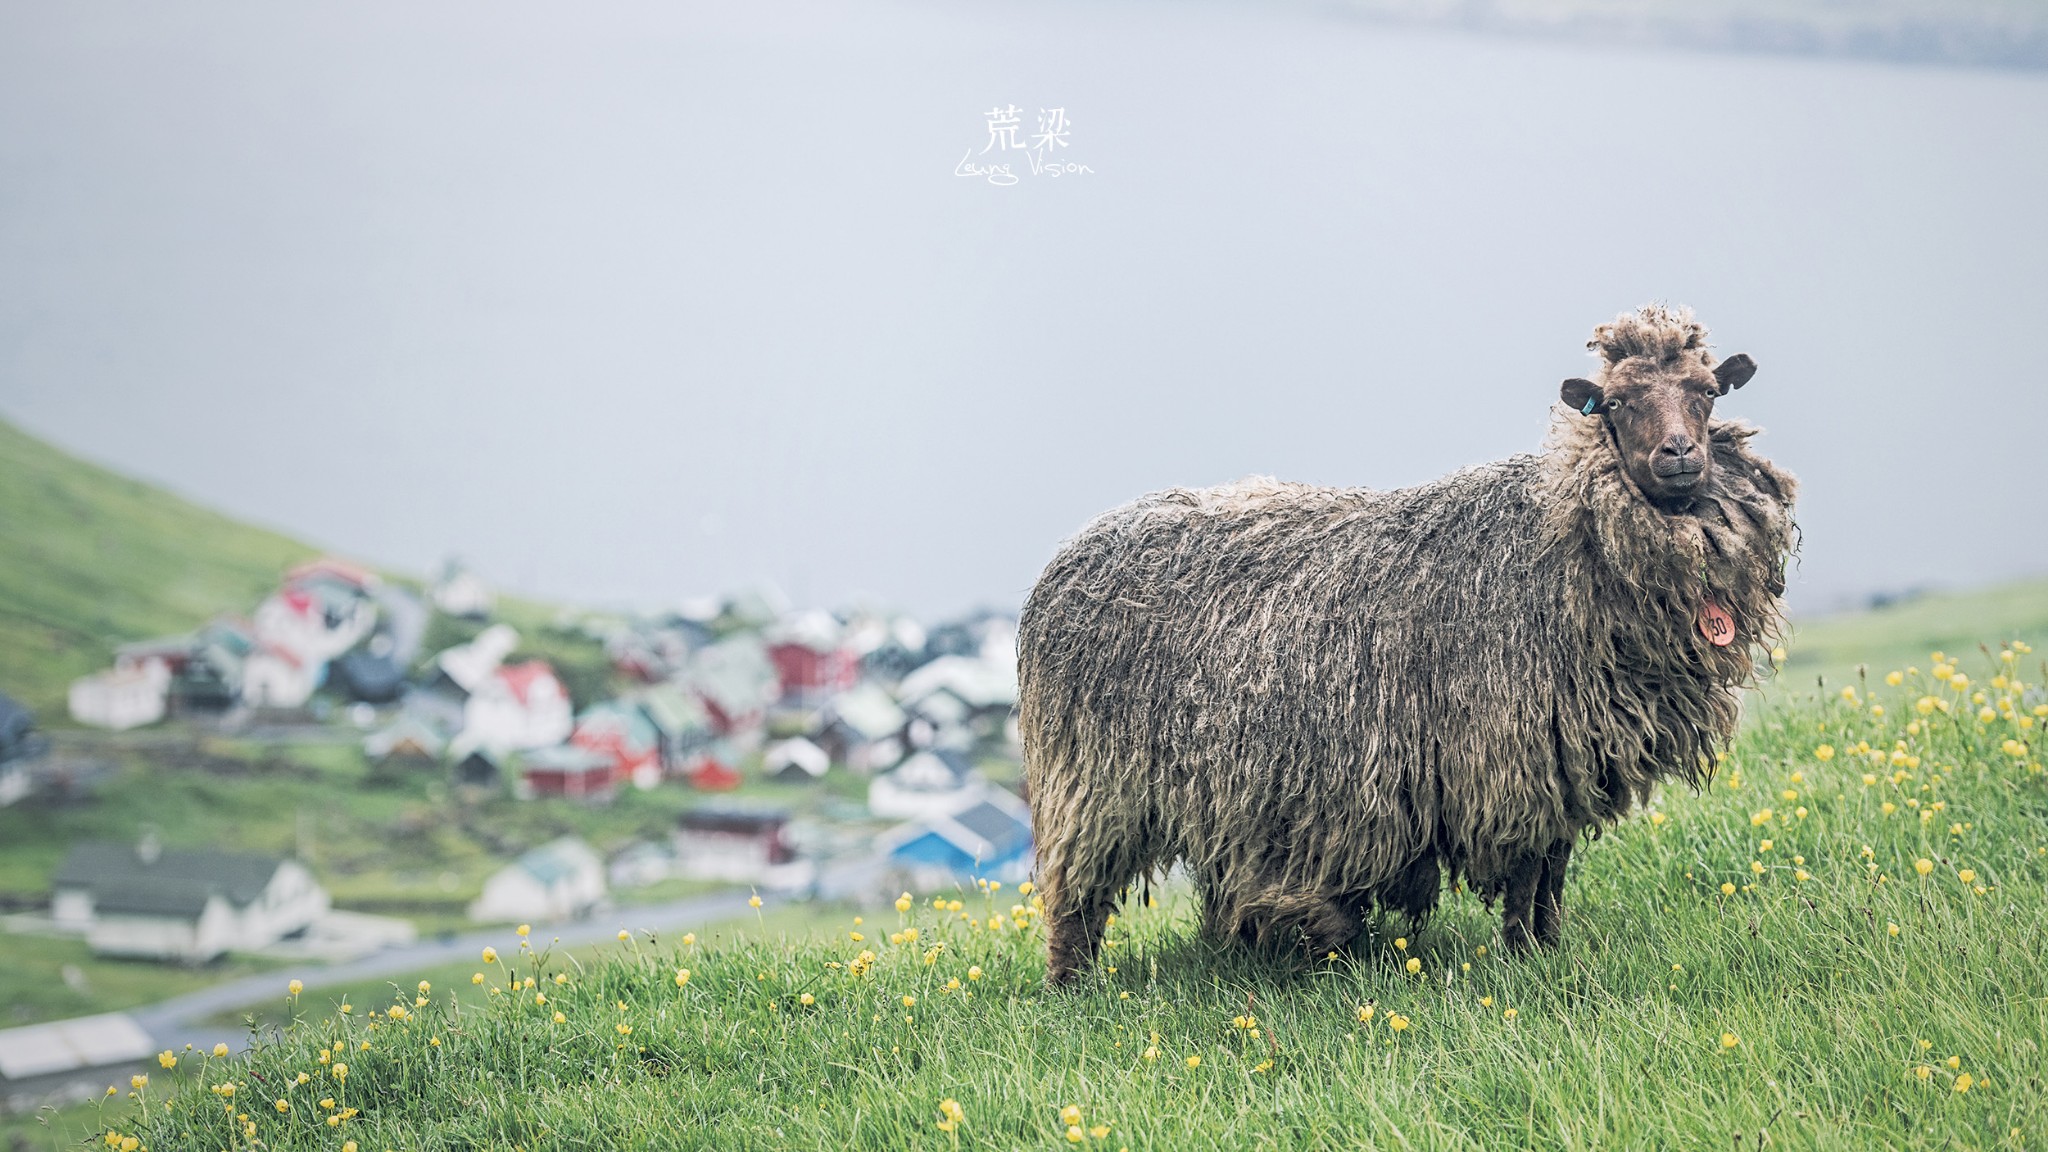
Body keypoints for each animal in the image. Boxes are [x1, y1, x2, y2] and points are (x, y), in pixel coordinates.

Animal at [1019, 303, 1794, 975]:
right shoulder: (1506, 756)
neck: (1561, 535)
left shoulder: (1563, 757)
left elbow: (1554, 869)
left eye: (1706, 393)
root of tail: (1066, 556)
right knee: (1073, 900)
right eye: (1618, 403)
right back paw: (1073, 987)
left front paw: (1549, 949)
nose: (1680, 454)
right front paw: (1524, 960)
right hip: (1092, 785)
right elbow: (1526, 872)